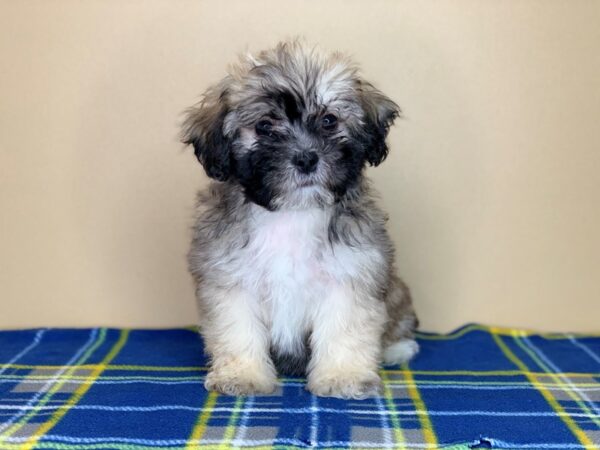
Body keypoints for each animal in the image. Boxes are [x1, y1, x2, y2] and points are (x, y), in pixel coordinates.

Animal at [180, 38, 420, 398]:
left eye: (329, 121)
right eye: (265, 126)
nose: (306, 158)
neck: (293, 212)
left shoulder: (350, 273)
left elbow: (344, 327)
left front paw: (343, 375)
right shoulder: (231, 279)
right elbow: (238, 329)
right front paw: (243, 374)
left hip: (397, 292)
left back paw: (396, 348)